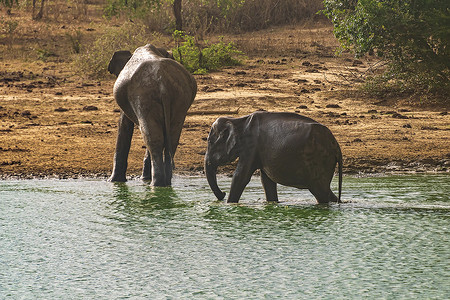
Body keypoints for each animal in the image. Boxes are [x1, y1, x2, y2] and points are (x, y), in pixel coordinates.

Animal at [107, 44, 197, 185]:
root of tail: (163, 84)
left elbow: (124, 123)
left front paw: (113, 181)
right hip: (180, 97)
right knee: (169, 138)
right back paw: (164, 184)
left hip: (143, 97)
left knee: (152, 138)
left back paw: (156, 184)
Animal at [206, 112, 342, 204]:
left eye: (210, 142)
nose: (223, 194)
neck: (238, 120)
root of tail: (335, 144)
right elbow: (267, 181)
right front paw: (272, 204)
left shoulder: (250, 146)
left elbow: (240, 177)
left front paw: (230, 204)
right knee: (326, 191)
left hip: (319, 160)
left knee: (320, 193)